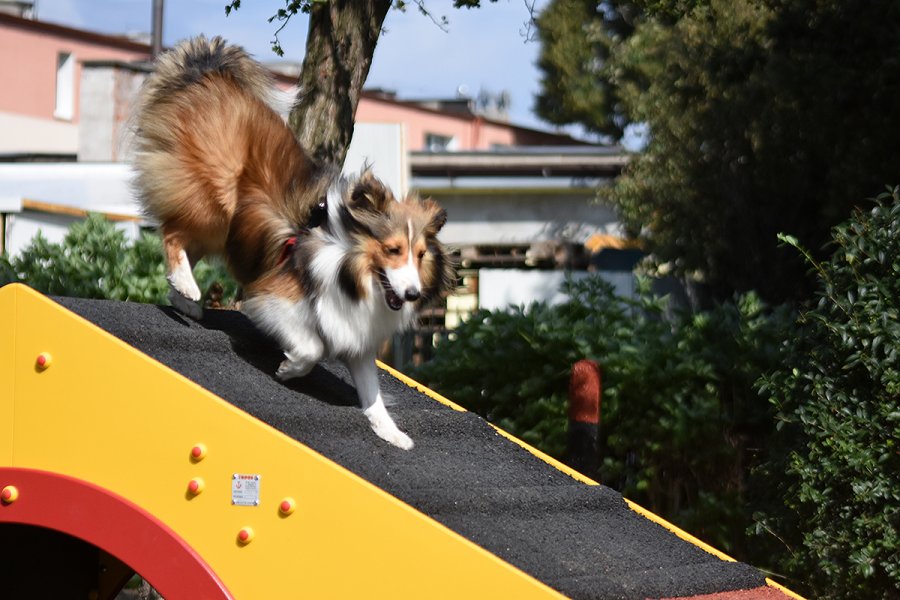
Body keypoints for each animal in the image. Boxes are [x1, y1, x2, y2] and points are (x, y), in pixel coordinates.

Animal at [130, 36, 454, 450]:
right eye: (392, 250)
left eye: (421, 254)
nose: (412, 294)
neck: (348, 263)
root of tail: (209, 70)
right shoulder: (275, 298)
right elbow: (312, 348)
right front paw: (288, 368)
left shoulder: (357, 337)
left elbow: (373, 395)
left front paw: (392, 433)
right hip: (215, 203)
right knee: (172, 234)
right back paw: (187, 287)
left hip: (225, 228)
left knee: (182, 245)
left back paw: (186, 300)